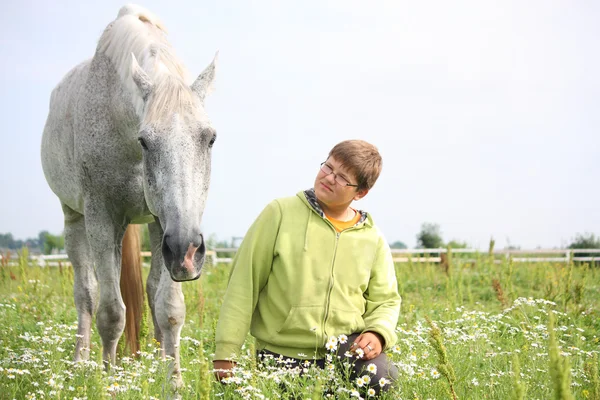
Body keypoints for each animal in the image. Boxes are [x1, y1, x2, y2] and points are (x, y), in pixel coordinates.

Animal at [40, 4, 218, 390]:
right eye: (145, 141)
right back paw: (82, 363)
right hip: (75, 220)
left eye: (210, 138)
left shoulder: (166, 225)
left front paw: (172, 381)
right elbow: (110, 312)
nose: (188, 251)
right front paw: (108, 381)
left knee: (149, 291)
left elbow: (169, 308)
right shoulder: (102, 219)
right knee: (87, 295)